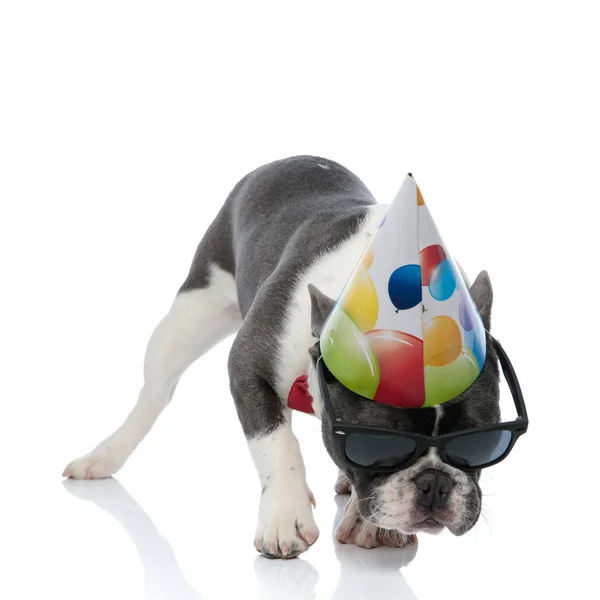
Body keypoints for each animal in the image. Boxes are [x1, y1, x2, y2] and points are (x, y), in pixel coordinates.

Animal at [63, 155, 500, 556]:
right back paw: (102, 456)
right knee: (155, 393)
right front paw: (285, 517)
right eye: (380, 445)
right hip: (188, 317)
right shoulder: (247, 369)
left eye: (482, 443)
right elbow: (276, 444)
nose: (435, 482)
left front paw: (368, 522)